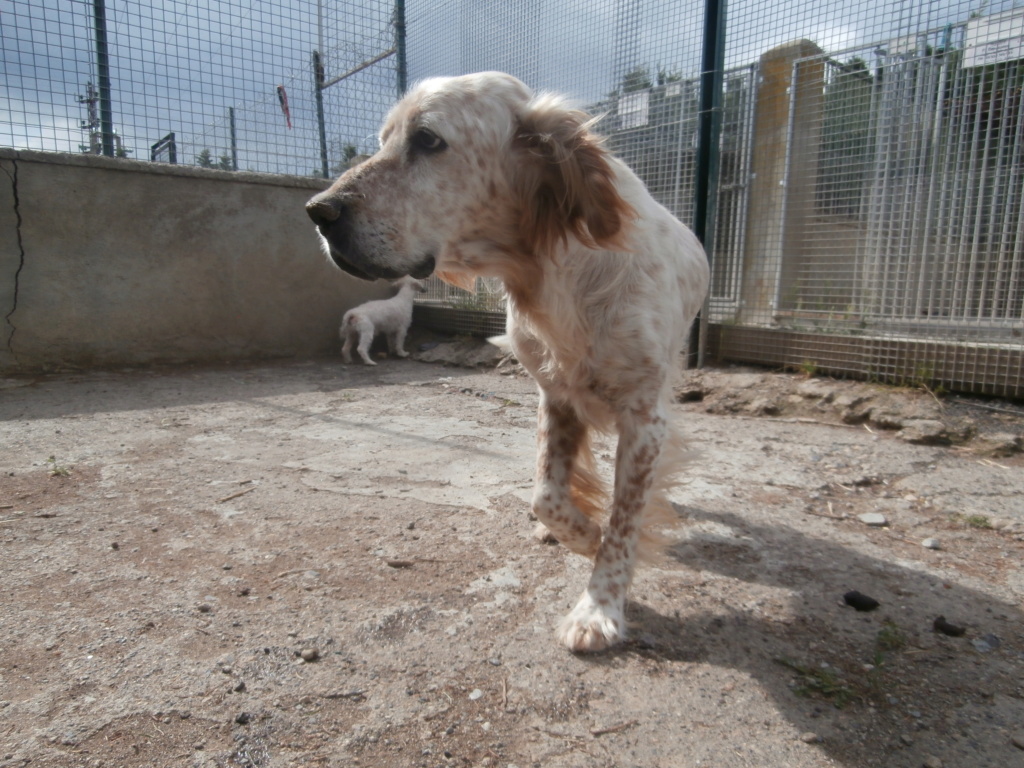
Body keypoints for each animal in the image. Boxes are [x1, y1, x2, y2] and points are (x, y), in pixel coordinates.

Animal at [307, 72, 708, 651]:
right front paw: (583, 533)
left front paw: (598, 606)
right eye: (384, 140)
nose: (318, 212)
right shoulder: (555, 397)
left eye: (427, 139)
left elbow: (626, 518)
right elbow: (547, 494)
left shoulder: (645, 418)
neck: (552, 269)